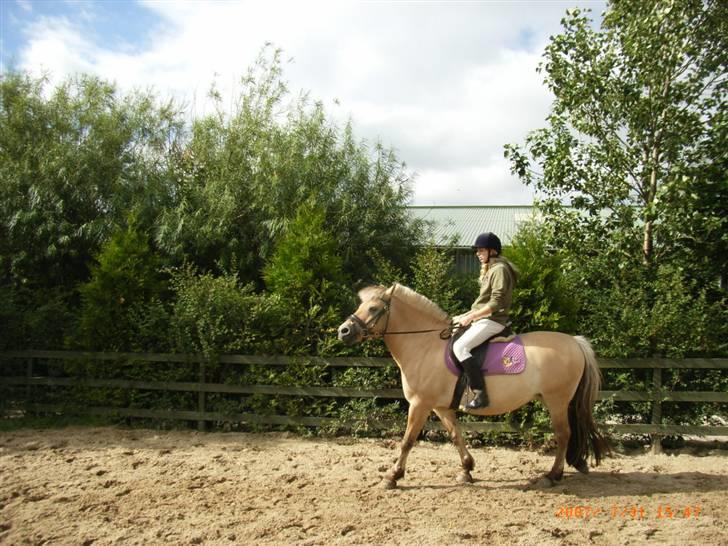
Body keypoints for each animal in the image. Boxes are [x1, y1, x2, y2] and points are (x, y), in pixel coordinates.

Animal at [338, 282, 612, 486]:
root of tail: (575, 342)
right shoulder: (440, 407)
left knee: (563, 434)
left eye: (373, 308)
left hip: (557, 400)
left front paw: (392, 476)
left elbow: (407, 440)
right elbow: (455, 436)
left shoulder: (420, 404)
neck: (425, 346)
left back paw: (553, 475)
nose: (343, 331)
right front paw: (466, 470)